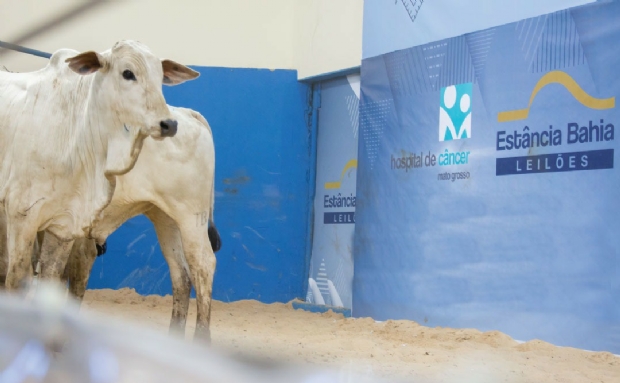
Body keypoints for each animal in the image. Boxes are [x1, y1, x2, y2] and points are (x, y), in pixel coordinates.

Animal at [0, 40, 199, 292]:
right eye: (127, 73)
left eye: (160, 75)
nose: (169, 124)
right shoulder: (21, 216)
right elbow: (16, 278)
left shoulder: (64, 224)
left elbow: (52, 278)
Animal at [36, 106, 219, 342]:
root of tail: (187, 113)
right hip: (166, 219)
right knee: (181, 274)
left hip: (191, 217)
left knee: (202, 265)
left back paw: (201, 339)